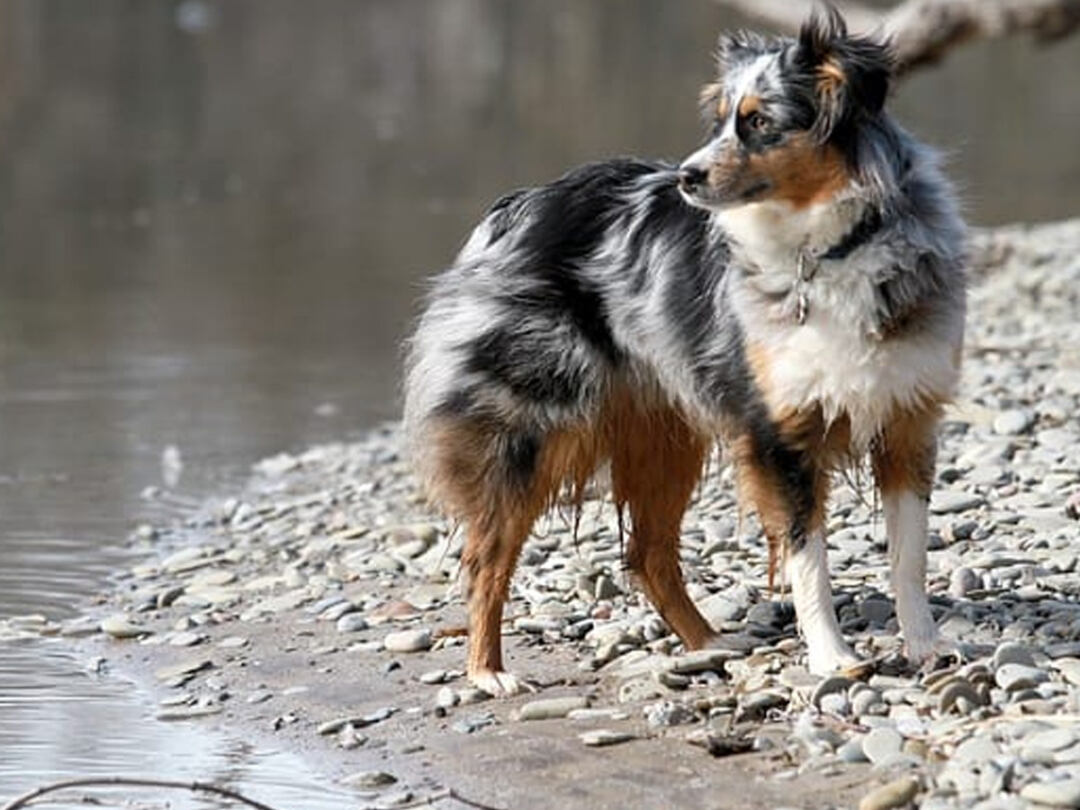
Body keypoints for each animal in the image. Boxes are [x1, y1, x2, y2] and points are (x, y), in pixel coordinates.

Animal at [406, 4, 972, 699]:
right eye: (720, 118)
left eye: (759, 121)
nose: (686, 175)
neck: (830, 247)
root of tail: (517, 207)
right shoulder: (780, 434)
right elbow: (808, 559)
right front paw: (832, 657)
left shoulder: (907, 419)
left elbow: (909, 555)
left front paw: (926, 646)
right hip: (527, 430)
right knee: (488, 555)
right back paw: (489, 671)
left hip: (664, 434)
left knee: (647, 553)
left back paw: (708, 644)